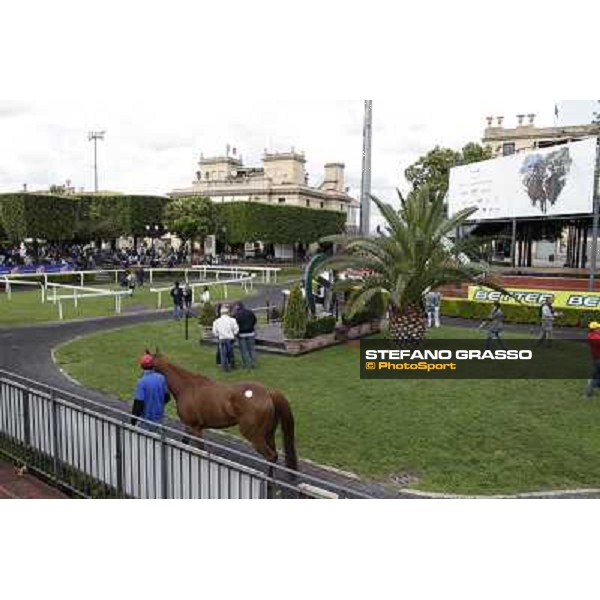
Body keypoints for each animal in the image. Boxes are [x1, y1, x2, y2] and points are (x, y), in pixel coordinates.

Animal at [148, 350, 298, 472]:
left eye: (147, 365)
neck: (186, 387)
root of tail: (268, 393)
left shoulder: (195, 428)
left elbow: (200, 449)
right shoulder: (188, 426)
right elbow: (184, 442)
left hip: (254, 435)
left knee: (270, 456)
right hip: (268, 433)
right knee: (274, 455)